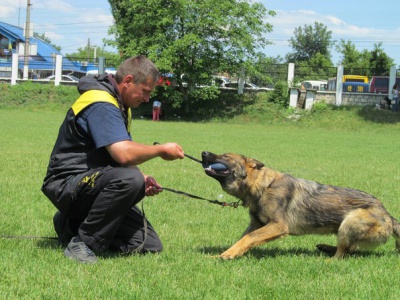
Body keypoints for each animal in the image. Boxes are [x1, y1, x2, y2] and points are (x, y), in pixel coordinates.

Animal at [202, 151, 400, 258]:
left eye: (225, 156)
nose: (203, 153)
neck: (263, 186)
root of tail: (386, 213)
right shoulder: (256, 224)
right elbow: (243, 239)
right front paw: (225, 253)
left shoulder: (278, 226)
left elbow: (249, 238)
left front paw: (228, 255)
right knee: (351, 249)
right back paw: (326, 248)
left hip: (350, 221)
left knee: (344, 253)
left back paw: (327, 259)